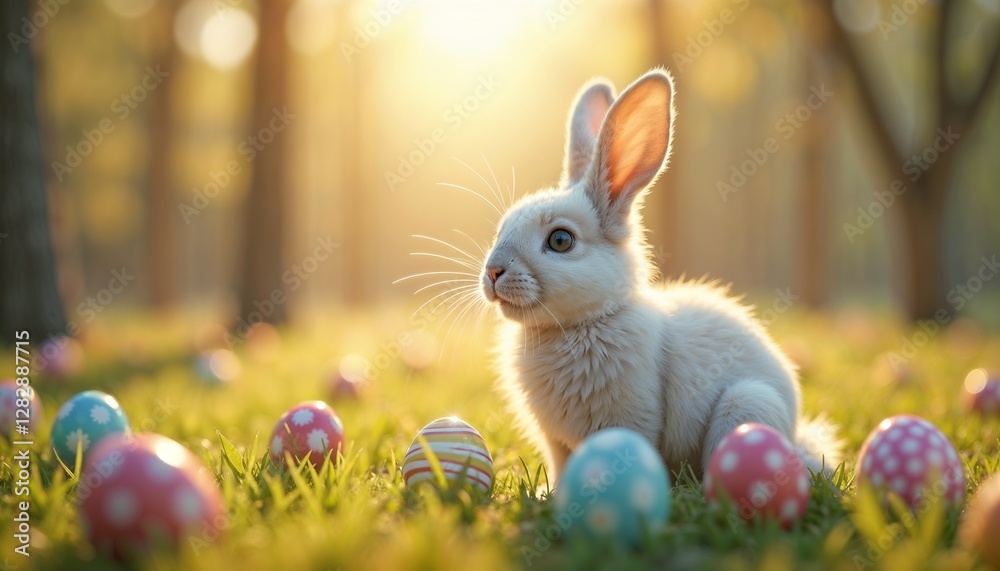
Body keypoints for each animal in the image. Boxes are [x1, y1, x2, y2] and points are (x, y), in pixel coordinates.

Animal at [480, 69, 840, 484]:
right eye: (502, 227)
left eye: (560, 240)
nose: (493, 271)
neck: (582, 323)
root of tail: (796, 433)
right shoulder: (556, 443)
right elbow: (560, 468)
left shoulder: (632, 418)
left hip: (747, 402)